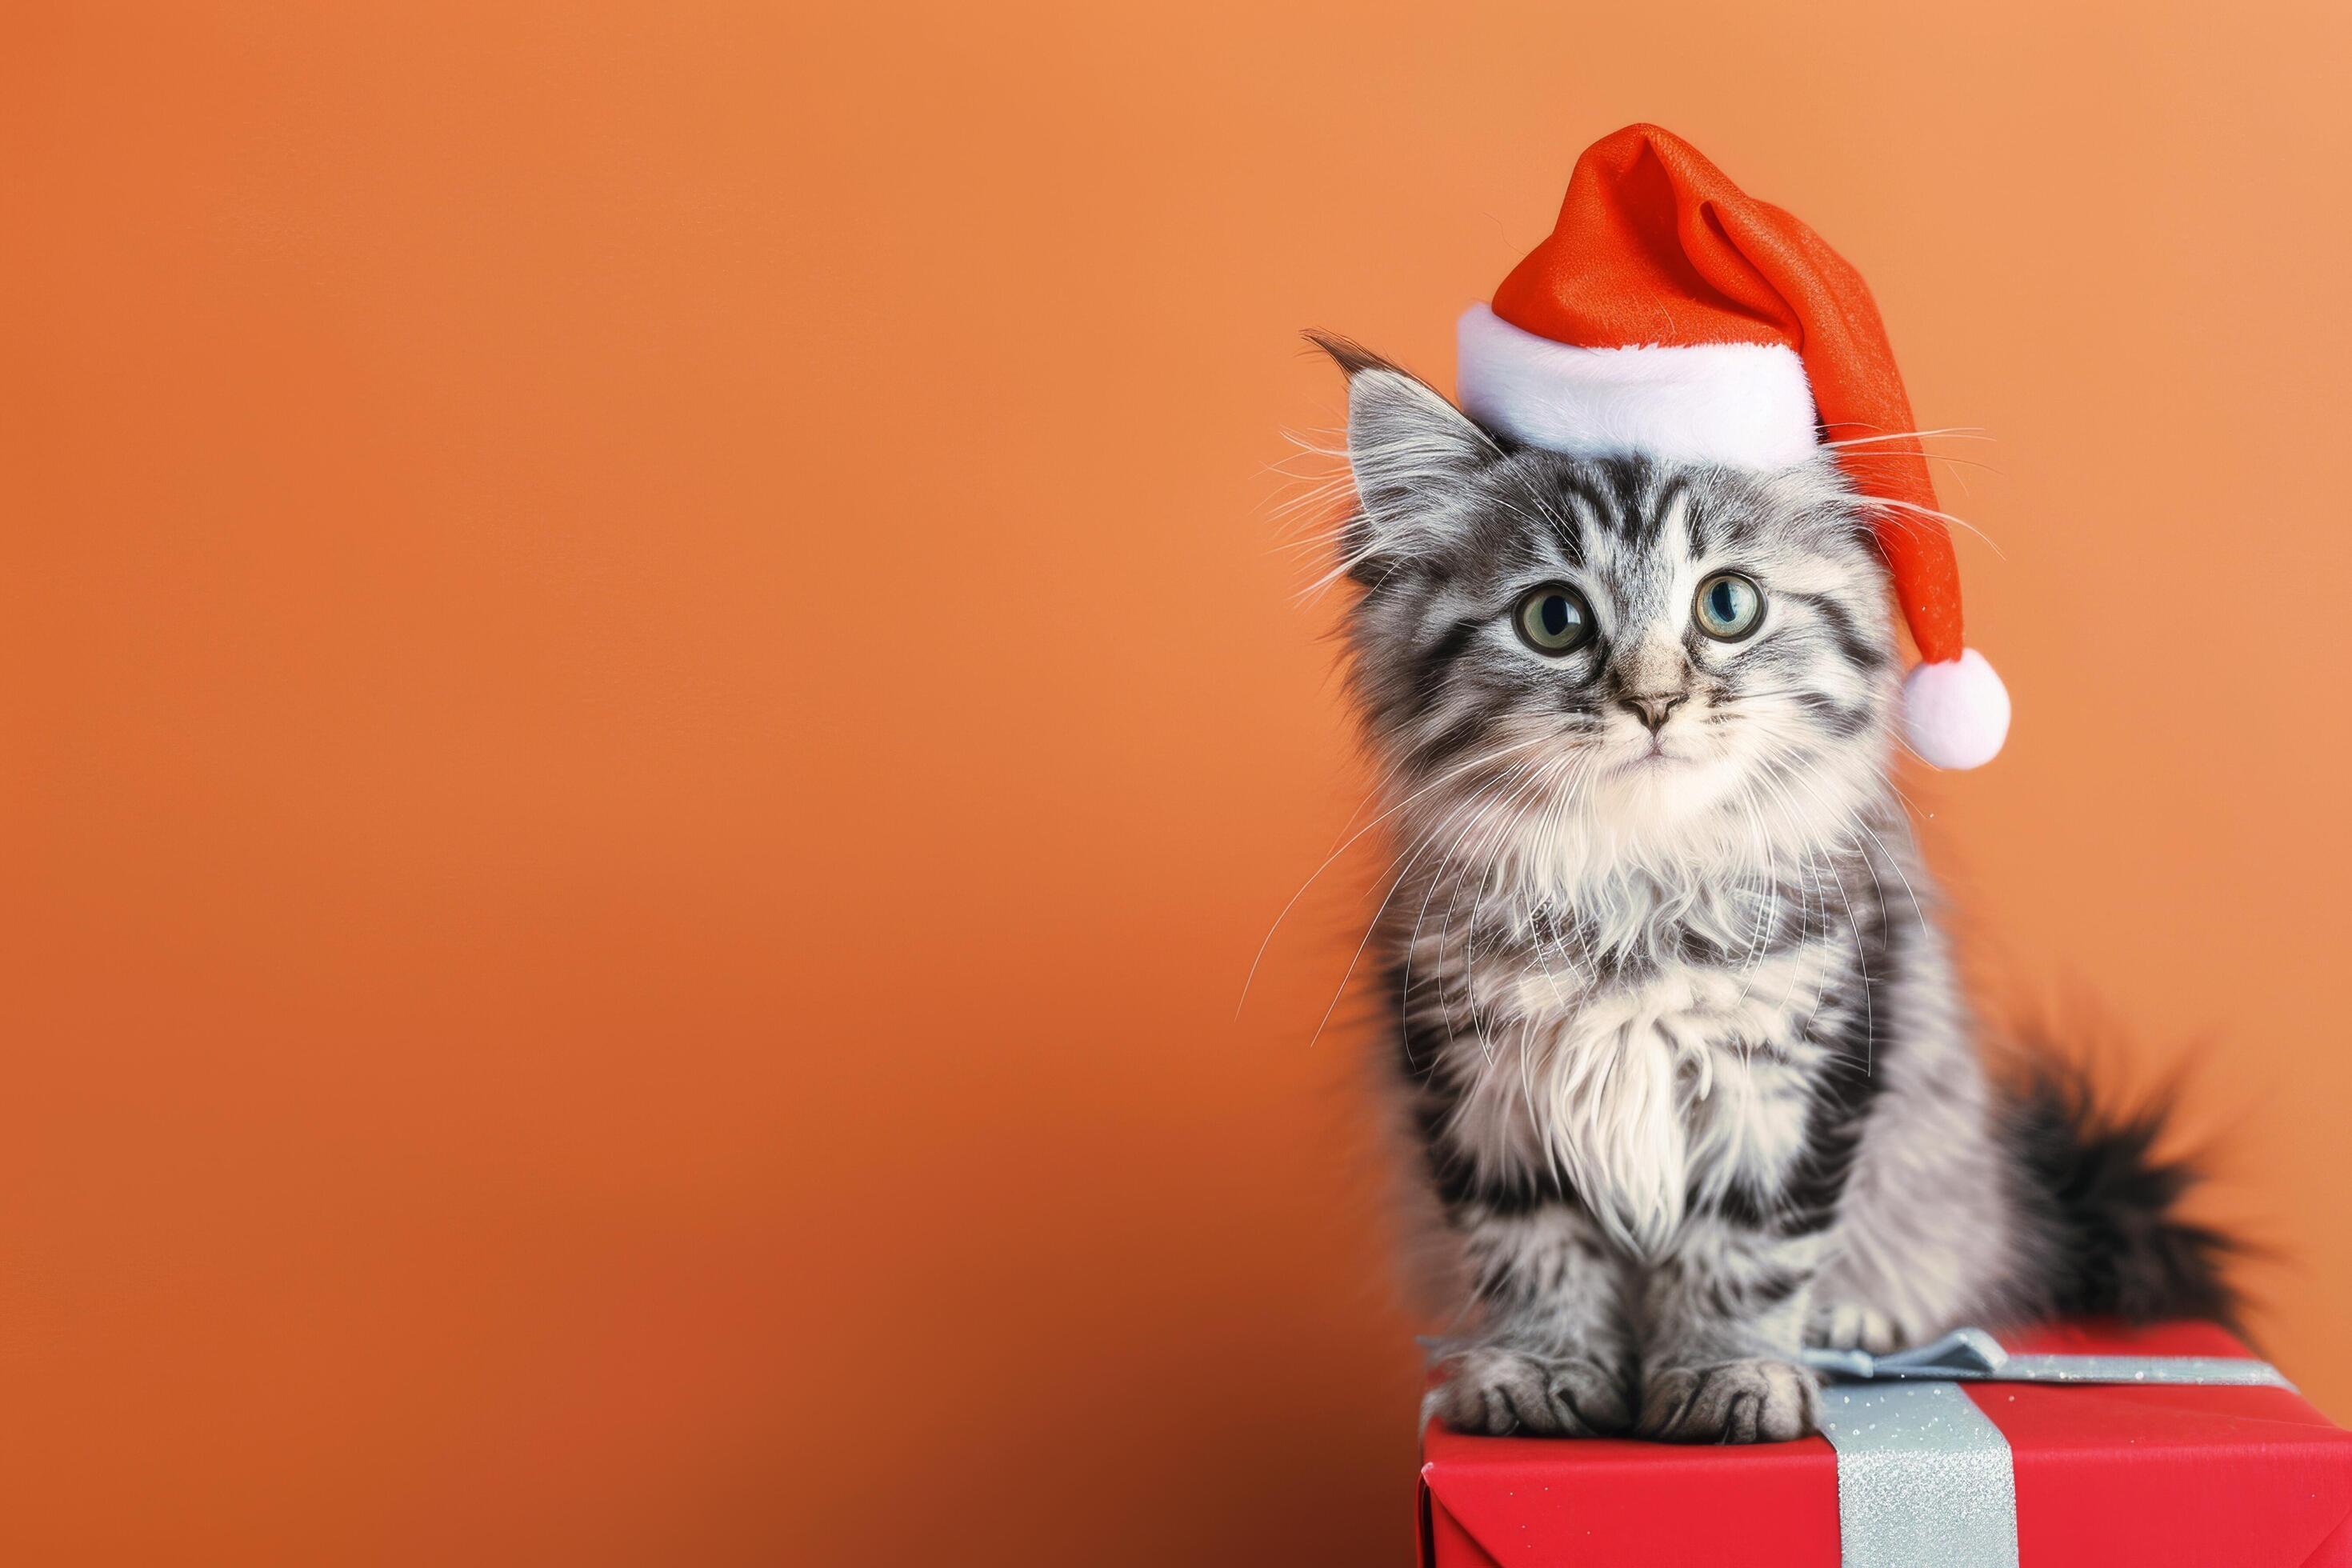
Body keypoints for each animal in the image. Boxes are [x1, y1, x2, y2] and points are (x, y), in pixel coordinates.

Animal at [1317, 334, 2230, 1448]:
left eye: (1727, 604)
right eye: (1553, 618)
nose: (1654, 702)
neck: (1640, 892)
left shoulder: (1807, 1063)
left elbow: (1743, 1255)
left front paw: (1731, 1376)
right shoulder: (1478, 1081)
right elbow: (1532, 1249)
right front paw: (1542, 1370)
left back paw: (1857, 1322)